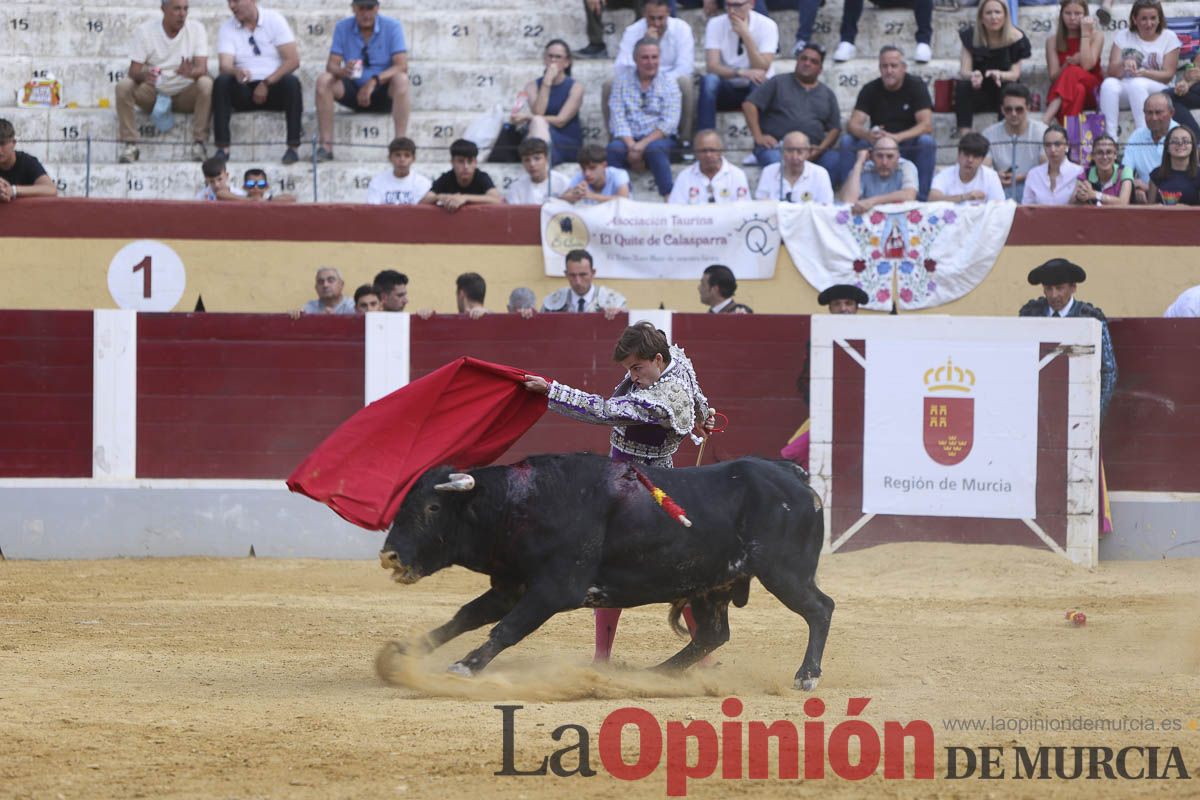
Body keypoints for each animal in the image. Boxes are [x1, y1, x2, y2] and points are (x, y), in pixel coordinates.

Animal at [376, 453, 835, 690]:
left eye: (433, 507)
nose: (390, 556)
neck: (524, 502)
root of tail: (796, 477)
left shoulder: (555, 589)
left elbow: (506, 628)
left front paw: (465, 667)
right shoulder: (512, 586)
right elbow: (466, 616)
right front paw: (403, 655)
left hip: (785, 573)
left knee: (820, 609)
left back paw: (806, 677)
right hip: (713, 584)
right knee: (712, 634)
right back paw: (656, 675)